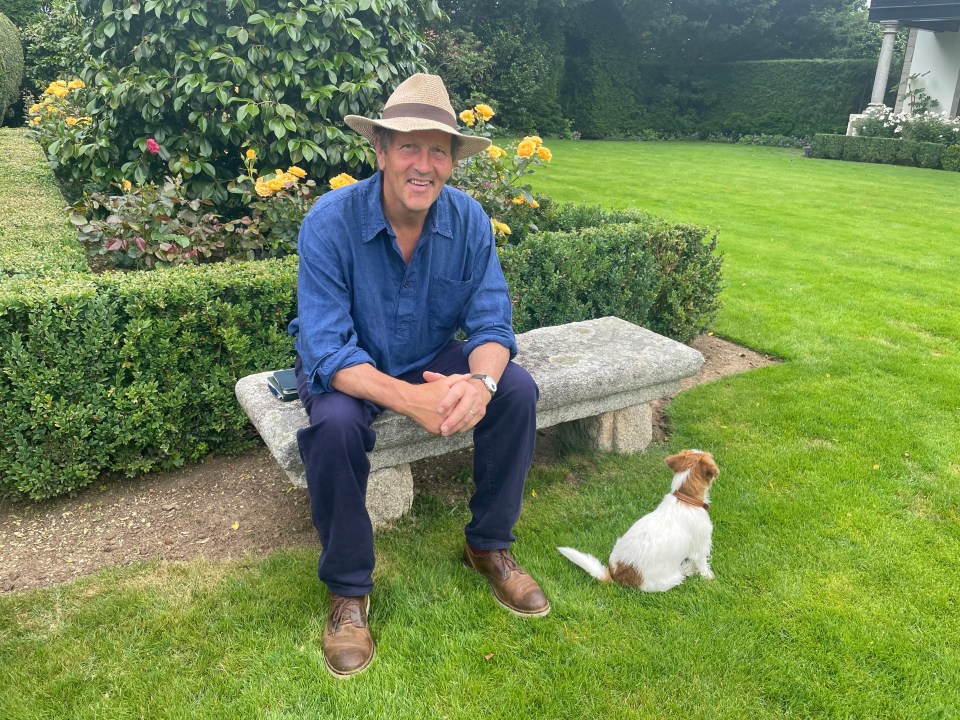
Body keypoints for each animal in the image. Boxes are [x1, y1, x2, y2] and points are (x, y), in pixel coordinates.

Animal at [556, 450, 720, 592]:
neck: (685, 497)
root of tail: (617, 576)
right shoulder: (701, 546)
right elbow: (702, 564)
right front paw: (708, 577)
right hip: (673, 578)